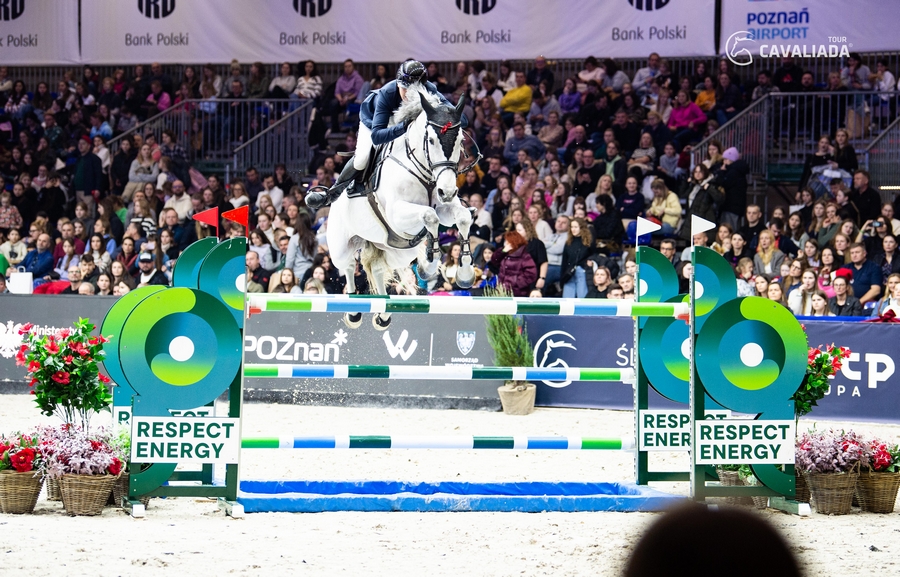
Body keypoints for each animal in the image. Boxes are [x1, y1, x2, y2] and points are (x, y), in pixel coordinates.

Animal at [326, 85, 478, 328]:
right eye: (431, 140)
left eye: (460, 140)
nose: (447, 192)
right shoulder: (397, 213)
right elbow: (430, 215)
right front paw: (430, 264)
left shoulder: (445, 209)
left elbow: (461, 217)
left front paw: (464, 273)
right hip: (341, 245)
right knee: (348, 266)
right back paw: (354, 313)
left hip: (397, 251)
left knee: (378, 268)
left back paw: (382, 314)